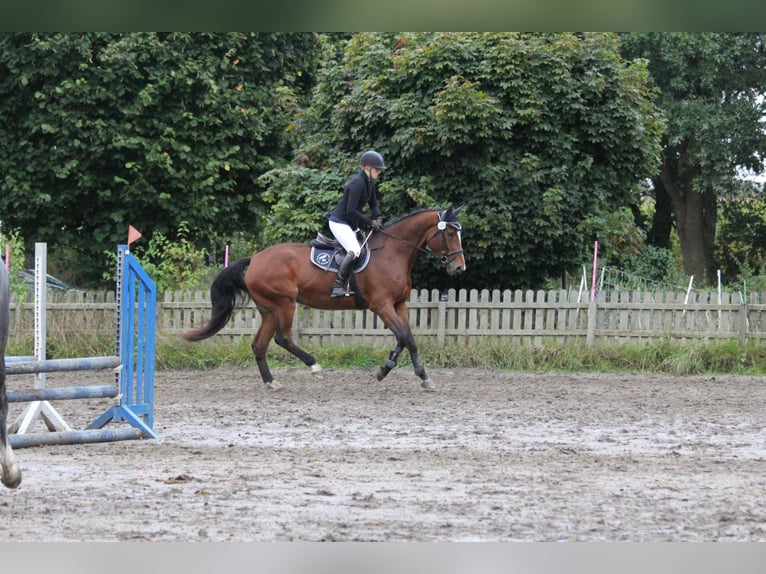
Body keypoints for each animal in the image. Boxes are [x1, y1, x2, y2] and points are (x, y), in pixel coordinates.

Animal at [182, 206, 466, 391]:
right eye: (450, 234)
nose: (460, 268)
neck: (394, 253)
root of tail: (255, 258)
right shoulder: (382, 305)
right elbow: (405, 337)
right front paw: (410, 374)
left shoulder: (399, 305)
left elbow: (407, 339)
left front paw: (394, 371)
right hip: (284, 303)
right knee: (283, 338)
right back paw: (314, 366)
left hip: (268, 309)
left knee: (259, 345)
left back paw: (271, 382)